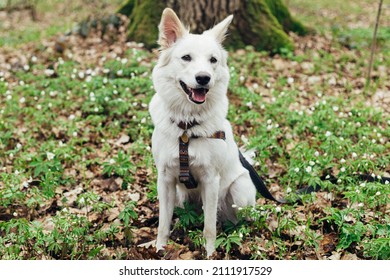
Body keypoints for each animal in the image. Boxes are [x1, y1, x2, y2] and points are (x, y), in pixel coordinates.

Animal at [149, 8, 256, 258]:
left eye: (213, 60)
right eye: (186, 58)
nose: (203, 78)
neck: (187, 128)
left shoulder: (210, 180)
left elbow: (209, 227)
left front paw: (209, 254)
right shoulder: (165, 179)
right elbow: (163, 224)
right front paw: (159, 249)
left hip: (239, 190)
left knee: (235, 219)